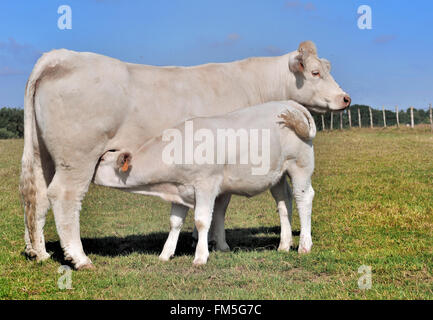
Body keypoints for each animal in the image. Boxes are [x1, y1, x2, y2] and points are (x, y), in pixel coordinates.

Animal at [94, 100, 316, 264]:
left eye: (102, 159)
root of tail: (289, 103)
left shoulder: (205, 185)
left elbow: (201, 221)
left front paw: (200, 257)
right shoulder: (179, 189)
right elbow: (175, 222)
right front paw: (165, 254)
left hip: (300, 165)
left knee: (303, 198)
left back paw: (304, 246)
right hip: (277, 175)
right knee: (284, 202)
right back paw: (284, 245)